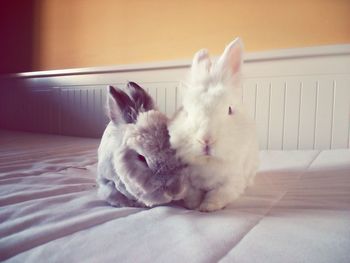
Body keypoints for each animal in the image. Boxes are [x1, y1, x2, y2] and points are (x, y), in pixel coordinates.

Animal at [170, 37, 260, 212]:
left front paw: (207, 208)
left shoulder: (232, 182)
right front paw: (193, 206)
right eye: (185, 111)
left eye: (229, 110)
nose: (206, 140)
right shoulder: (189, 183)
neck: (208, 163)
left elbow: (218, 195)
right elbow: (192, 195)